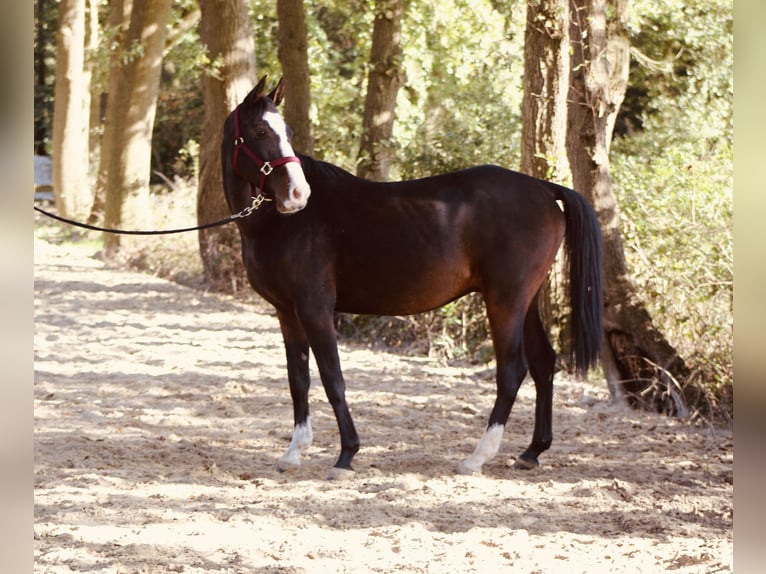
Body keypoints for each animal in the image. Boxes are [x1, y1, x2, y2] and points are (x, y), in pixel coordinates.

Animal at [219, 76, 604, 482]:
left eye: (287, 133)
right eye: (262, 131)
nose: (298, 194)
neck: (282, 223)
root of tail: (545, 188)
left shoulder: (315, 308)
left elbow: (332, 377)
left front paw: (346, 455)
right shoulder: (287, 312)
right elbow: (299, 379)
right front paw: (294, 452)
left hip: (506, 301)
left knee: (512, 370)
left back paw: (477, 458)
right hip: (525, 301)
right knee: (544, 362)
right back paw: (532, 451)